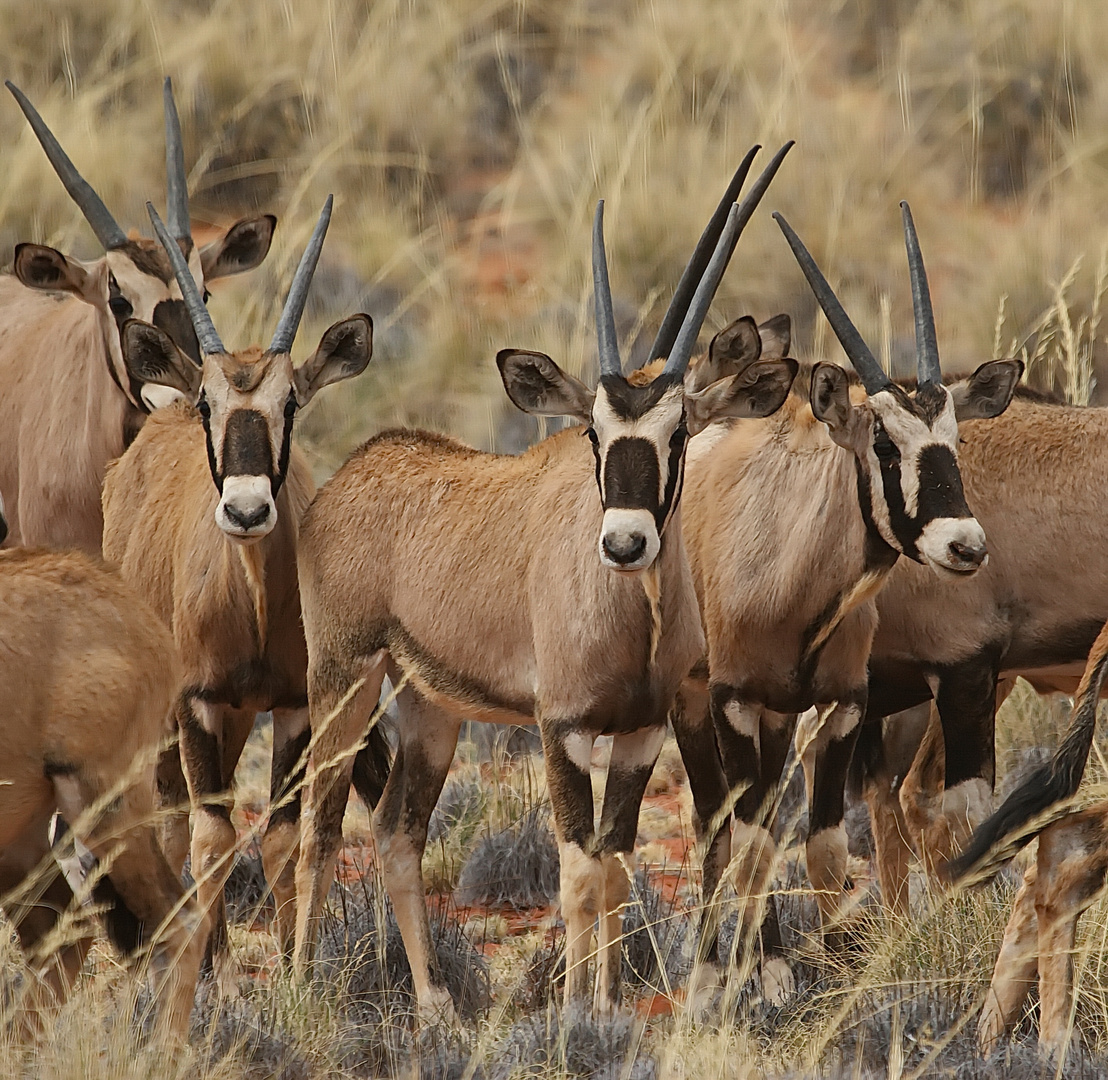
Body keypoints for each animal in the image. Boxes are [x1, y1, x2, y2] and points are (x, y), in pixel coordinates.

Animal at [100, 198, 385, 974]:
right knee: (177, 820)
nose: (248, 511)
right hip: (176, 714)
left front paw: (292, 968)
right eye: (211, 404)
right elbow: (211, 836)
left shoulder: (292, 705)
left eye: (291, 404)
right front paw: (222, 977)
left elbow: (282, 836)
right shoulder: (195, 699)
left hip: (234, 717)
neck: (253, 599)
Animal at [290, 146, 802, 1023]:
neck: (633, 618)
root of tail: (354, 472)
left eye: (679, 433)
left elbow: (616, 870)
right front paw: (576, 1014)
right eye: (594, 431)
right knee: (319, 828)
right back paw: (296, 987)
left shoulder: (640, 733)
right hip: (343, 679)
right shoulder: (558, 727)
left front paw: (604, 1006)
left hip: (429, 706)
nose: (625, 543)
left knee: (396, 832)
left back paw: (434, 1004)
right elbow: (577, 875)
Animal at [664, 204, 1019, 1005]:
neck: (791, 578)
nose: (965, 545)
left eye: (954, 440)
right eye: (884, 445)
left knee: (760, 821)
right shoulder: (732, 701)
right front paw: (766, 976)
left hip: (777, 721)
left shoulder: (841, 704)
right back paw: (711, 972)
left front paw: (823, 969)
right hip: (697, 705)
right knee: (720, 826)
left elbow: (822, 847)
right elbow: (751, 840)